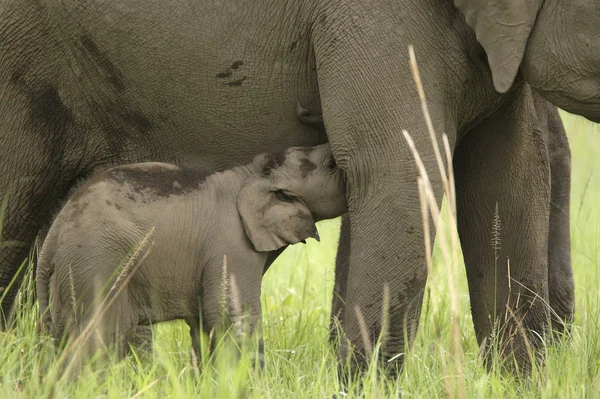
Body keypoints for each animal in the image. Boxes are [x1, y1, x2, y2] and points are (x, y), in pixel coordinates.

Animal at [36, 142, 346, 364]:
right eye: (331, 166)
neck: (250, 173)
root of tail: (53, 236)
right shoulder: (231, 247)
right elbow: (232, 317)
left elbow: (203, 324)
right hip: (97, 264)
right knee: (99, 338)